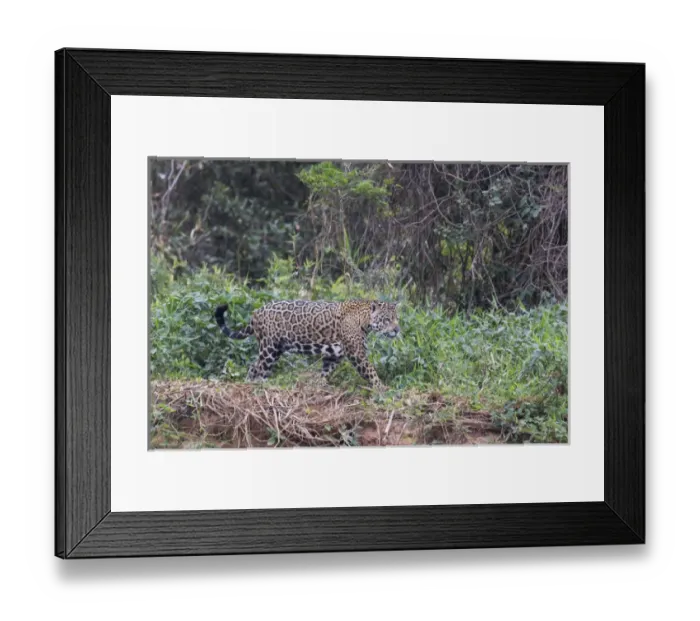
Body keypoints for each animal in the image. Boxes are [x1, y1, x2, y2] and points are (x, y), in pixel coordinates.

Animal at [214, 299, 400, 389]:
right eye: (387, 319)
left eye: (397, 318)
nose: (397, 329)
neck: (365, 319)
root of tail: (256, 312)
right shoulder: (356, 353)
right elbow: (370, 371)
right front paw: (382, 388)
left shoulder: (334, 354)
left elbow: (325, 371)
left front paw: (319, 384)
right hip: (269, 347)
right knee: (258, 367)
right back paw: (257, 384)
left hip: (275, 350)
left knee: (255, 366)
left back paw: (253, 383)